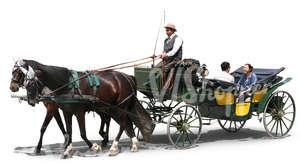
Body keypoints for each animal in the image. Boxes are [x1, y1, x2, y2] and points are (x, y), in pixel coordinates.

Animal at [10, 59, 152, 158]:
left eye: (21, 74)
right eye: (14, 72)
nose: (12, 87)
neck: (66, 84)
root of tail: (128, 77)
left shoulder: (76, 112)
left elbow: (81, 133)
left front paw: (93, 146)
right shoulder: (65, 111)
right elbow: (68, 130)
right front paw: (67, 149)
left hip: (119, 106)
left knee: (122, 123)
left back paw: (113, 146)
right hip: (112, 106)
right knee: (124, 122)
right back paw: (132, 143)